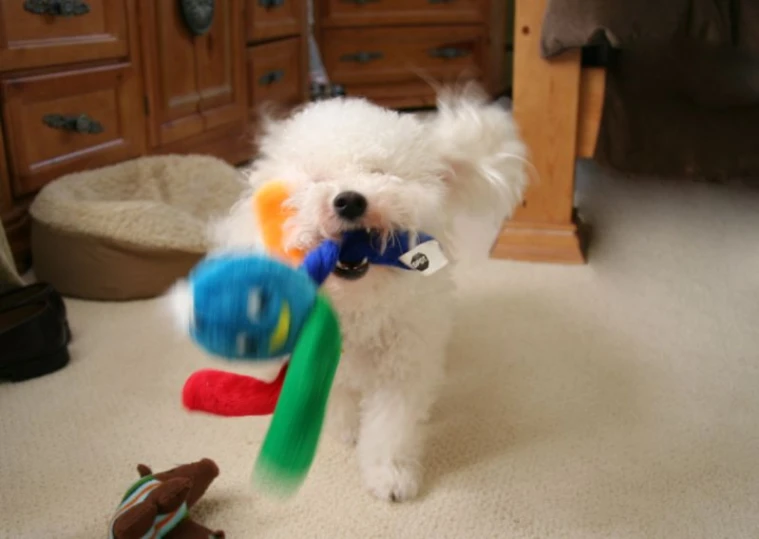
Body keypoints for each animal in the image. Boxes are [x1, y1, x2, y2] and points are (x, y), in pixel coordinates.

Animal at [180, 84, 524, 502]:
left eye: (379, 172)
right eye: (315, 180)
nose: (349, 200)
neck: (357, 302)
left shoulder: (402, 360)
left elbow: (391, 424)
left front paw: (390, 476)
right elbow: (335, 396)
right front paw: (344, 430)